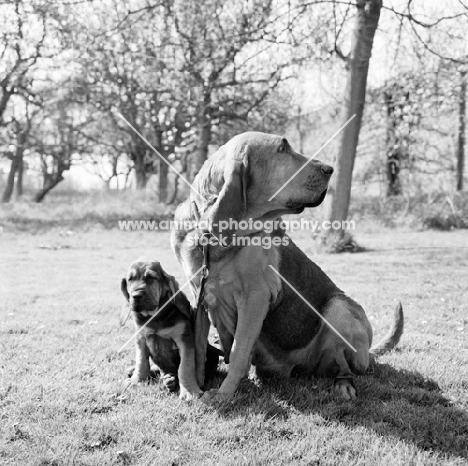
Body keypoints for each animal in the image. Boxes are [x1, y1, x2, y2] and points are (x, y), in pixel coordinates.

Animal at [122, 258, 221, 400]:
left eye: (150, 277)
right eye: (130, 279)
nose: (136, 295)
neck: (155, 316)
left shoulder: (185, 340)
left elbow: (185, 367)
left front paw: (189, 391)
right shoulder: (141, 338)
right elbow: (141, 361)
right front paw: (137, 380)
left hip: (211, 353)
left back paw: (170, 381)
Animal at [170, 133, 404, 402]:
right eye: (282, 148)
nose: (330, 169)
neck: (211, 236)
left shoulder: (255, 297)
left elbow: (239, 351)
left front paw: (223, 394)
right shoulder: (198, 296)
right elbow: (196, 349)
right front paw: (192, 387)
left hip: (340, 309)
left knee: (344, 367)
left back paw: (342, 386)